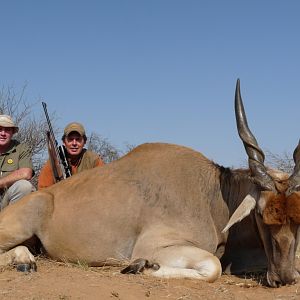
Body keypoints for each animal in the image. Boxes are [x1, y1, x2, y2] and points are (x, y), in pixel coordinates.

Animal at [0, 80, 300, 288]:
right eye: (260, 214)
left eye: (297, 219)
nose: (284, 278)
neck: (213, 195)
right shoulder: (154, 247)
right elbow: (212, 266)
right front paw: (142, 267)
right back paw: (24, 261)